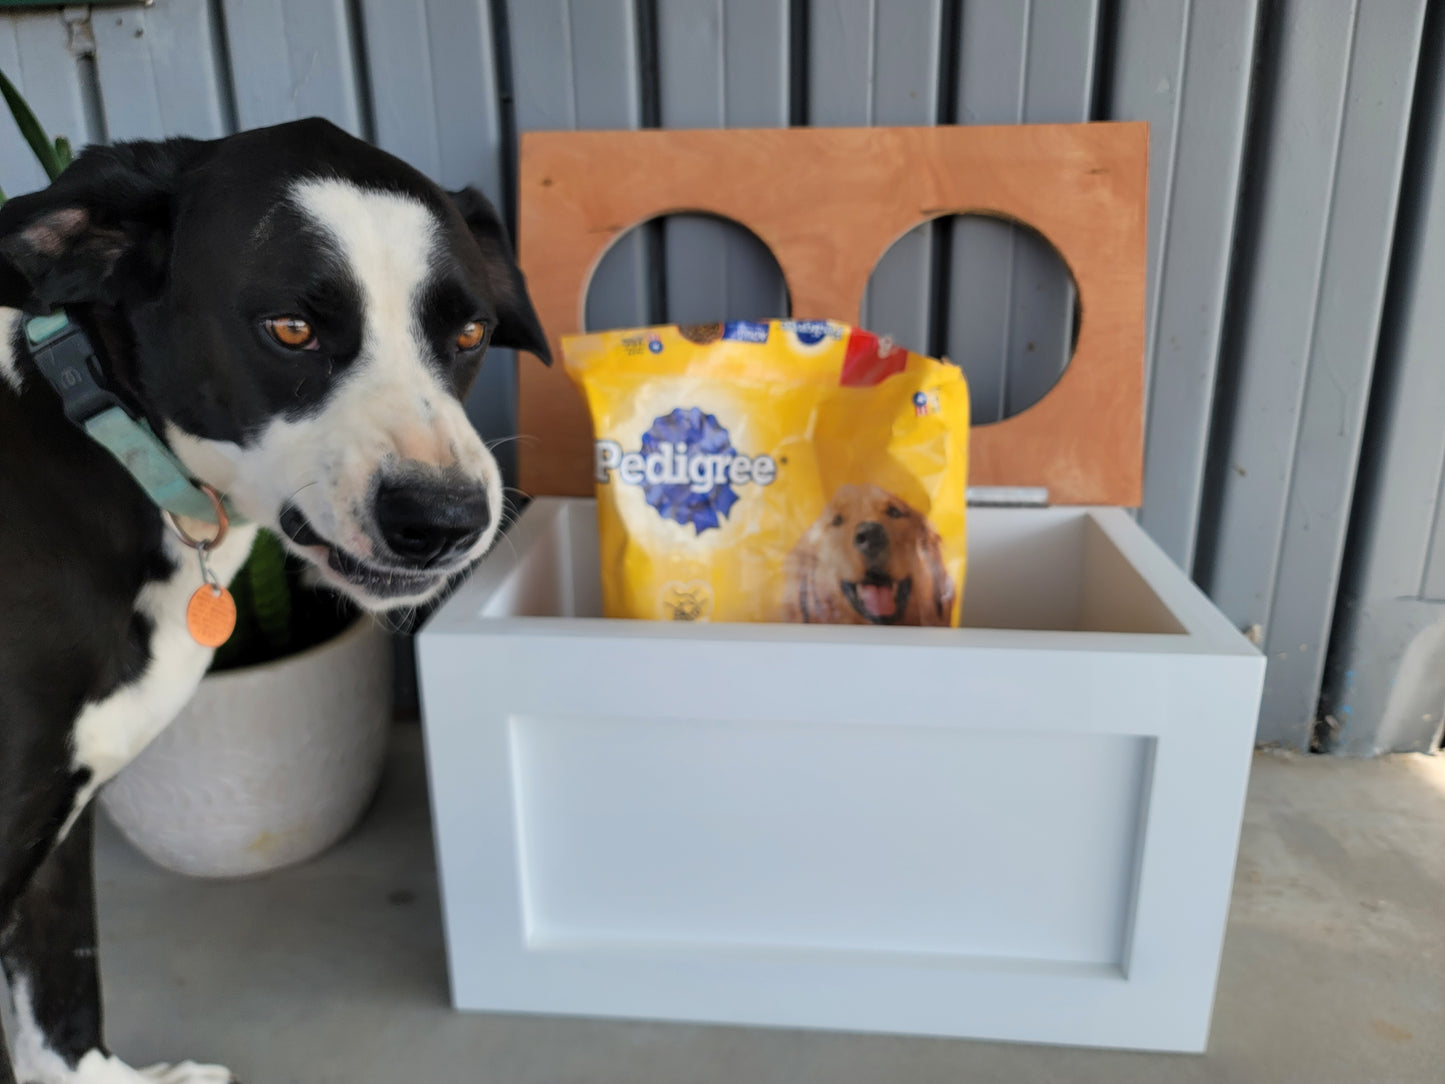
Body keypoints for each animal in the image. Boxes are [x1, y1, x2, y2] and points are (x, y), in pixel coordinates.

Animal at [0, 118, 549, 1084]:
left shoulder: (57, 823)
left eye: (471, 330)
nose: (445, 520)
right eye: (290, 328)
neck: (104, 444)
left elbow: (61, 1011)